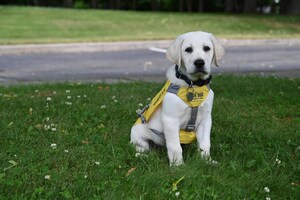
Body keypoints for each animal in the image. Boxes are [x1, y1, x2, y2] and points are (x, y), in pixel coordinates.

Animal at [130, 31, 224, 166]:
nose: (199, 62)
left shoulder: (205, 119)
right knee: (142, 148)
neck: (193, 84)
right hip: (139, 132)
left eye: (207, 48)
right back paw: (146, 156)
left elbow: (206, 143)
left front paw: (207, 161)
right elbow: (175, 147)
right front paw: (178, 166)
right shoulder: (171, 120)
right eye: (188, 49)